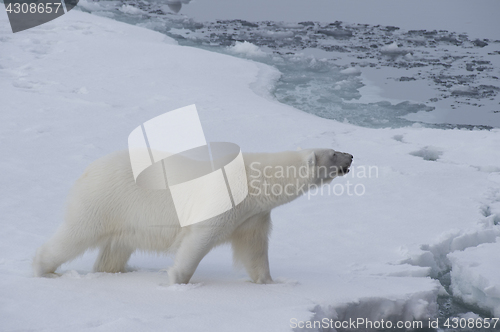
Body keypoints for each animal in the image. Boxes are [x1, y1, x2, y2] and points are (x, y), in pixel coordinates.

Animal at [34, 149, 352, 284]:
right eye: (333, 153)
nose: (351, 156)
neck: (254, 180)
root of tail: (88, 169)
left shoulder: (253, 215)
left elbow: (254, 249)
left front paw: (269, 282)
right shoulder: (224, 200)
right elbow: (200, 238)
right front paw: (178, 279)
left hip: (125, 217)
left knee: (116, 247)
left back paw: (118, 271)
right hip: (105, 200)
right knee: (75, 235)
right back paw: (44, 269)